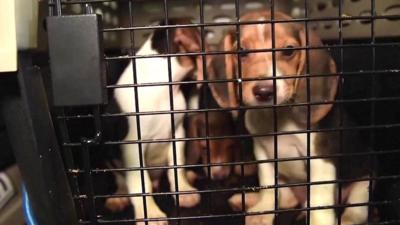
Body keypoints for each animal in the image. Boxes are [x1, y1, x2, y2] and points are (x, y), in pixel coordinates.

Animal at [113, 18, 205, 225]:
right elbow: (140, 183)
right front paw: (151, 213)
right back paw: (119, 196)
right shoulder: (132, 145)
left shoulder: (178, 134)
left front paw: (184, 191)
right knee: (120, 178)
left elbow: (177, 167)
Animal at [209, 9, 372, 225]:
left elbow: (319, 200)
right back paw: (248, 200)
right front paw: (262, 212)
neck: (278, 117)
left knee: (357, 208)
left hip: (364, 180)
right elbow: (269, 189)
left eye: (288, 51)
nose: (264, 91)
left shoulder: (320, 160)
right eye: (241, 52)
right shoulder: (263, 154)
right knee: (286, 198)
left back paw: (348, 218)